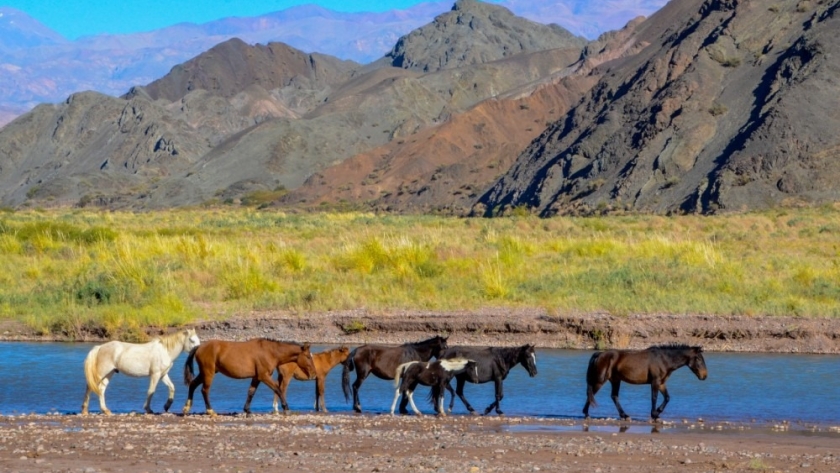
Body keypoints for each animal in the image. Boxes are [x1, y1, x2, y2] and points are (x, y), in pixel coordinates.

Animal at [181, 338, 316, 414]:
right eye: (308, 356)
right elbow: (278, 389)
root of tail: (199, 347)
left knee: (192, 385)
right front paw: (286, 407)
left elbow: (251, 392)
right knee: (205, 390)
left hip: (205, 372)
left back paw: (186, 408)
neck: (270, 352)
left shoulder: (256, 377)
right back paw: (210, 410)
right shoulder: (264, 376)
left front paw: (247, 409)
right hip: (208, 372)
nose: (314, 374)